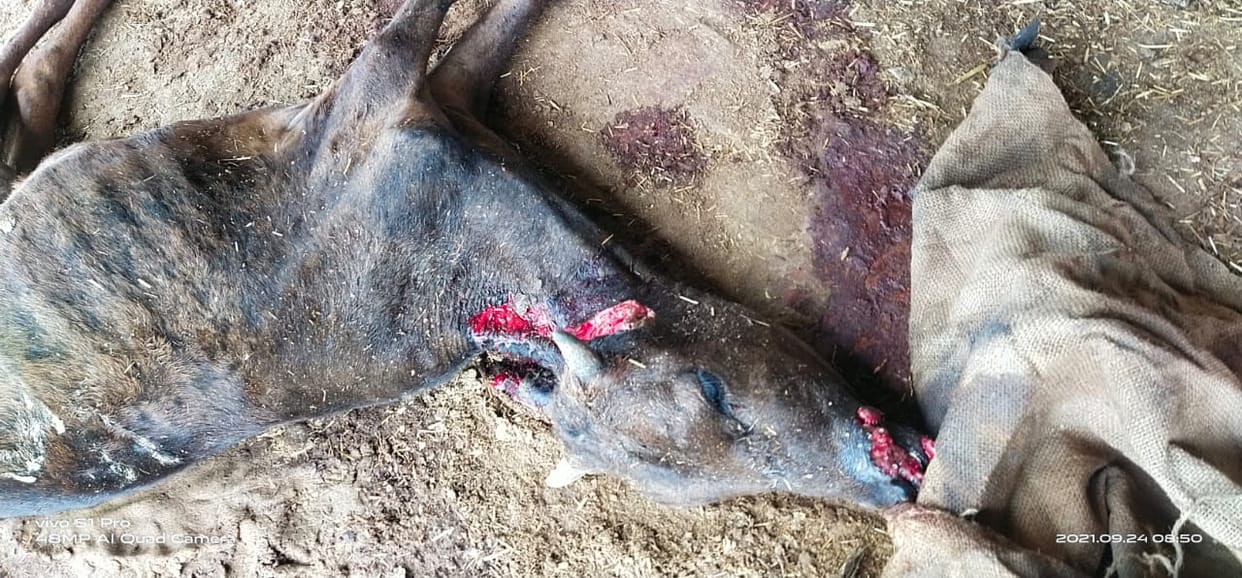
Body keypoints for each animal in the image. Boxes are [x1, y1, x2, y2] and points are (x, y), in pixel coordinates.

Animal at [0, 0, 932, 519]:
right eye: (716, 396)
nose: (892, 484)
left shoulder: (434, 101)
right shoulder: (375, 101)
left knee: (31, 82)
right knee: (35, 67)